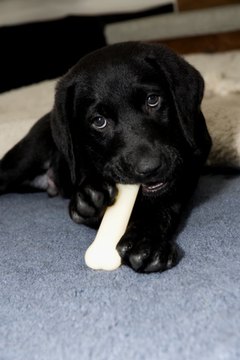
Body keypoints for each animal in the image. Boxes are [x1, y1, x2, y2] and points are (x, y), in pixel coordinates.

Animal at [0, 42, 211, 272]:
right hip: (24, 158)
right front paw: (91, 197)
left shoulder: (191, 165)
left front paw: (147, 240)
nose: (149, 168)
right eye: (99, 121)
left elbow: (167, 202)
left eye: (153, 100)